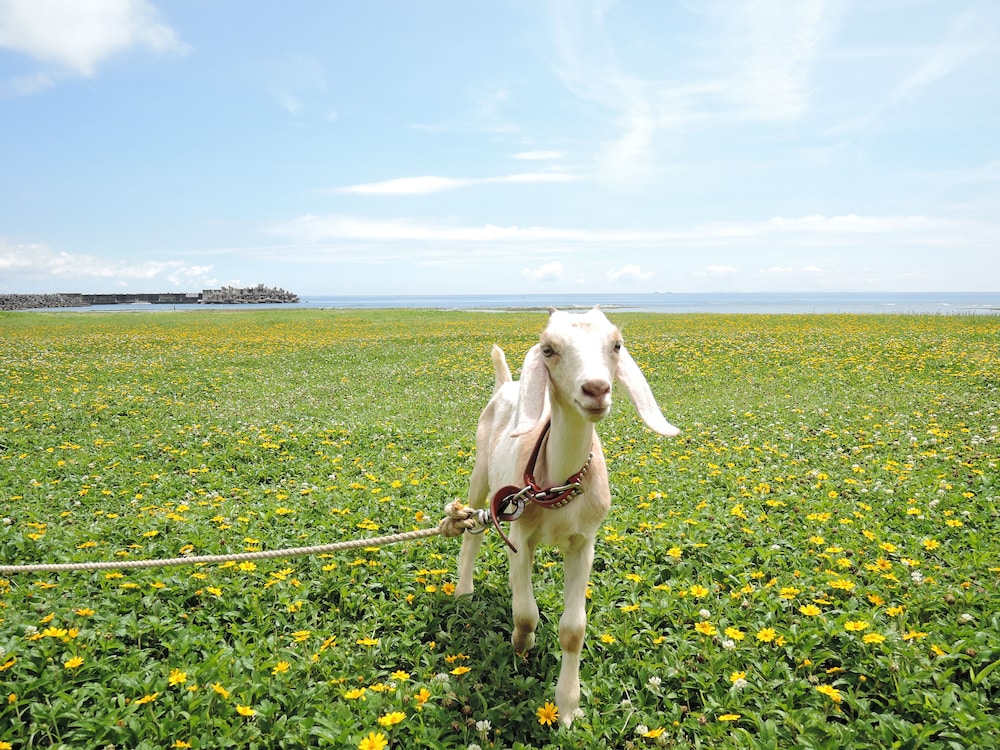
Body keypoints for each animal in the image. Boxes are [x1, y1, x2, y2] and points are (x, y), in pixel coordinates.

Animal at [455, 306, 679, 726]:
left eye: (616, 345)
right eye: (548, 348)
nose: (596, 389)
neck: (555, 486)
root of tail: (506, 384)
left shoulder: (583, 542)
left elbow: (573, 629)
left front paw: (567, 708)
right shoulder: (520, 536)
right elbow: (526, 614)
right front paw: (521, 643)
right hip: (481, 471)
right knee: (471, 526)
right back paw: (463, 591)